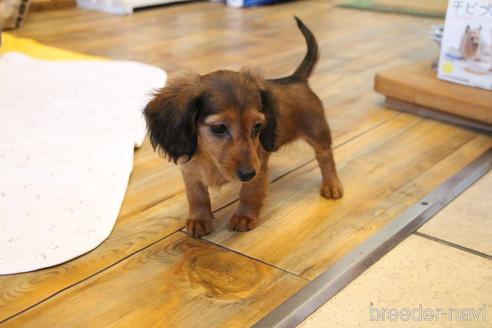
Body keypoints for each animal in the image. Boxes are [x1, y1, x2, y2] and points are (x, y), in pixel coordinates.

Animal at [144, 16, 344, 237]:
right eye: (218, 128)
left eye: (257, 127)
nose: (248, 174)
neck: (210, 158)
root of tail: (296, 78)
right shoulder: (191, 173)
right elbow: (197, 197)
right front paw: (199, 220)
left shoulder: (258, 170)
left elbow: (249, 193)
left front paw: (244, 217)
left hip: (318, 133)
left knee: (325, 157)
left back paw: (332, 185)